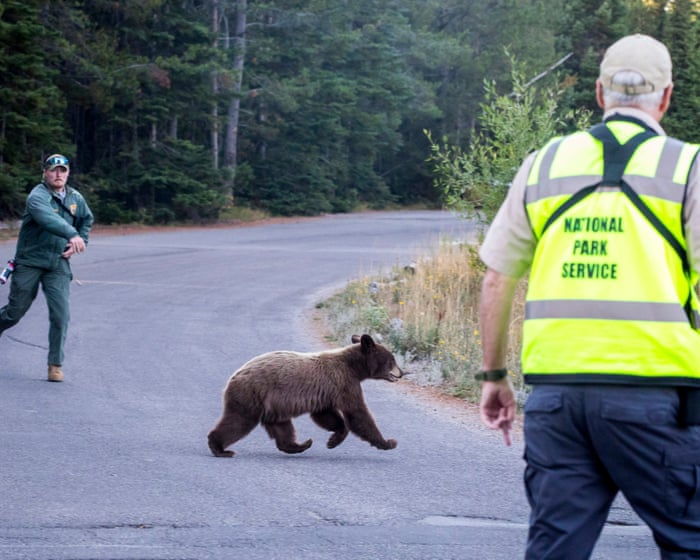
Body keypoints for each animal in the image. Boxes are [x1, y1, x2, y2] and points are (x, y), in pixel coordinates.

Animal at [207, 334, 403, 457]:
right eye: (392, 360)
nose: (401, 373)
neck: (354, 367)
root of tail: (233, 377)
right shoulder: (344, 383)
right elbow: (357, 413)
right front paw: (389, 442)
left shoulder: (328, 392)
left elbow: (326, 415)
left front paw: (333, 440)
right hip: (251, 395)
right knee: (238, 421)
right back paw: (220, 449)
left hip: (272, 405)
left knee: (281, 427)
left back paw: (301, 445)